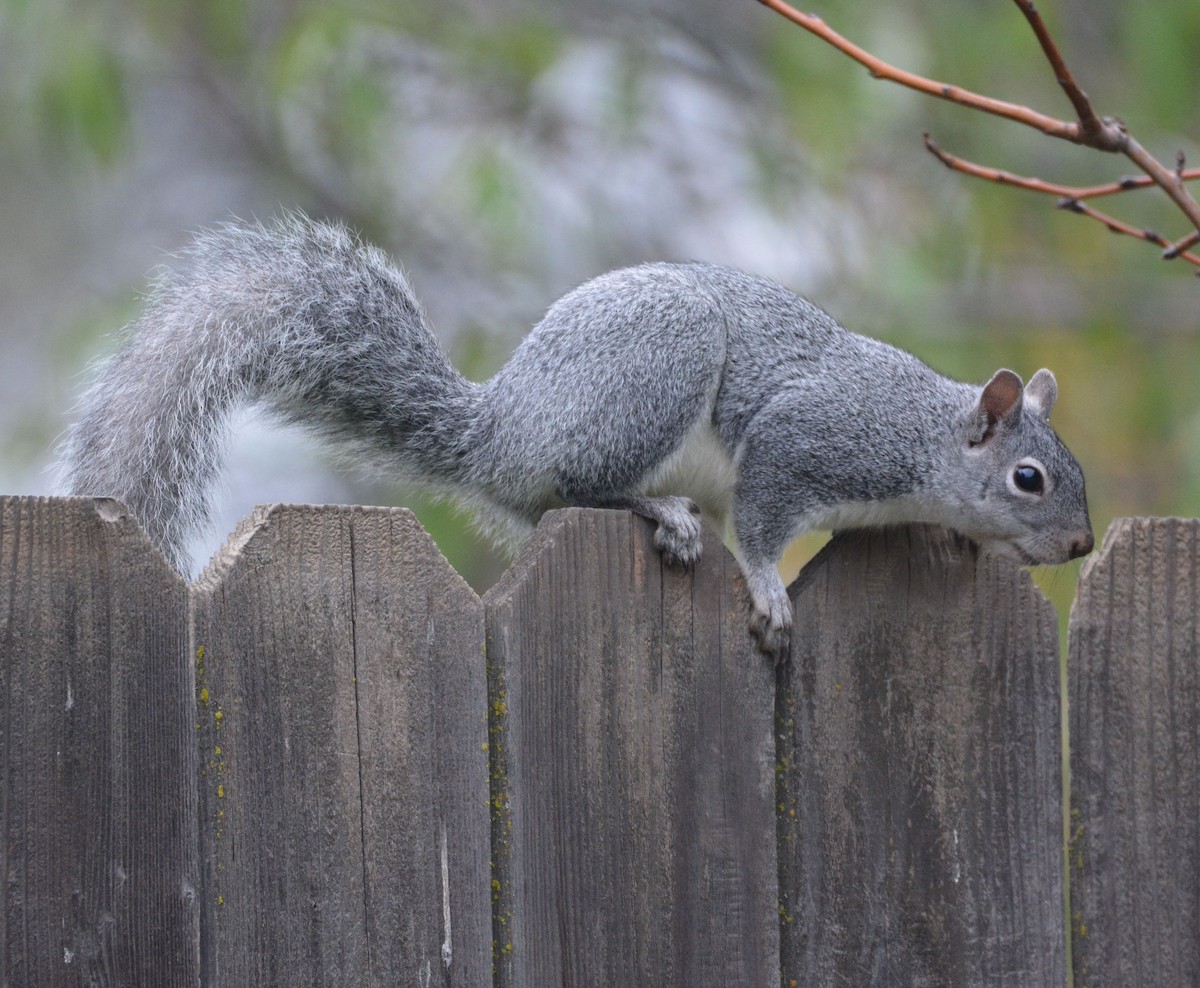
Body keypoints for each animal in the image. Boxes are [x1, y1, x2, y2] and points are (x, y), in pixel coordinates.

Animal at [58, 214, 1094, 661]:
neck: (922, 433)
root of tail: (500, 425)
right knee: (575, 485)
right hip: (655, 373)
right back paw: (661, 512)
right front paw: (767, 592)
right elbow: (763, 527)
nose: (1082, 543)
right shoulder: (805, 442)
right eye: (1030, 478)